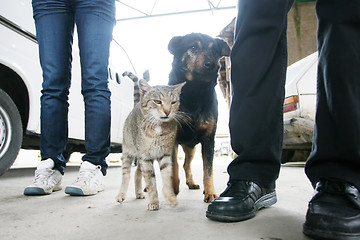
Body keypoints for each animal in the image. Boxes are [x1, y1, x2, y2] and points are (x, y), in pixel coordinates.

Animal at [116, 79, 187, 210]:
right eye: (157, 101)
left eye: (173, 102)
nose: (167, 111)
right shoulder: (145, 158)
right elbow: (151, 182)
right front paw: (154, 202)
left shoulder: (165, 156)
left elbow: (167, 179)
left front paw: (170, 198)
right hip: (128, 153)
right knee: (126, 175)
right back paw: (121, 194)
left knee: (137, 173)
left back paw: (138, 192)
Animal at [168, 31, 231, 202]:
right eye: (193, 47)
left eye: (215, 50)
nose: (212, 64)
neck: (195, 91)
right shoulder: (173, 138)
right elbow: (174, 165)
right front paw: (173, 187)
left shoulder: (209, 139)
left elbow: (208, 170)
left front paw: (210, 192)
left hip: (191, 148)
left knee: (186, 164)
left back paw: (191, 182)